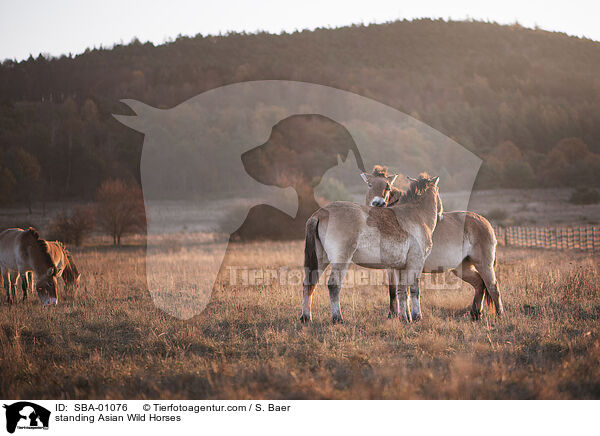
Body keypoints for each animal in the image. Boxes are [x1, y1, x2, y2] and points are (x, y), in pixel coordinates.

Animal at [300, 175, 440, 324]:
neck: (417, 215)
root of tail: (320, 213)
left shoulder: (399, 267)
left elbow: (401, 291)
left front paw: (404, 318)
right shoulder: (416, 262)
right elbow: (414, 289)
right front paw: (416, 316)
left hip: (321, 260)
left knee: (309, 283)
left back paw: (306, 317)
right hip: (341, 260)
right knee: (333, 285)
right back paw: (338, 318)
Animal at [364, 167, 504, 320]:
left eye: (388, 187)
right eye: (369, 185)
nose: (378, 204)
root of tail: (484, 221)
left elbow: (405, 290)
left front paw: (408, 316)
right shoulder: (396, 267)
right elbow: (397, 291)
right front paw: (400, 316)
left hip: (484, 265)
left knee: (493, 287)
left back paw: (499, 315)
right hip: (463, 267)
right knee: (479, 284)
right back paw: (475, 315)